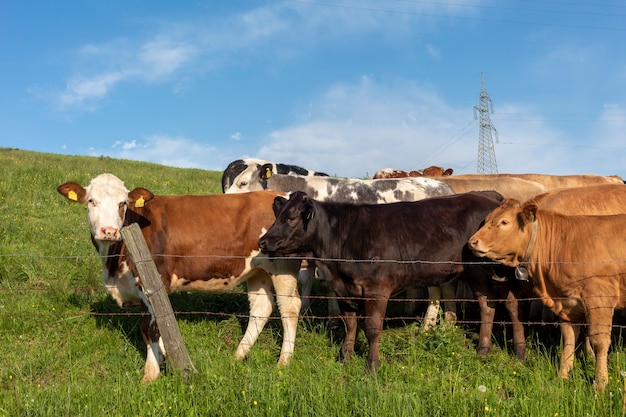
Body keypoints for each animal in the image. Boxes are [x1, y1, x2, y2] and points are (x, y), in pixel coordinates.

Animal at [57, 173, 302, 384]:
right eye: (91, 201)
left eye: (122, 203)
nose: (108, 231)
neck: (113, 262)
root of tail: (281, 195)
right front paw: (162, 356)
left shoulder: (153, 284)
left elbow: (150, 328)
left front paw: (151, 373)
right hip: (258, 270)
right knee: (261, 308)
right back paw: (238, 355)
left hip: (283, 267)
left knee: (290, 307)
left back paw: (284, 361)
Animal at [466, 197, 626, 388]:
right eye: (487, 219)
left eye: (504, 222)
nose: (472, 241)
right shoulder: (568, 304)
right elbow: (568, 339)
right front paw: (562, 377)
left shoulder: (599, 300)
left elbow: (599, 343)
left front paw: (600, 384)